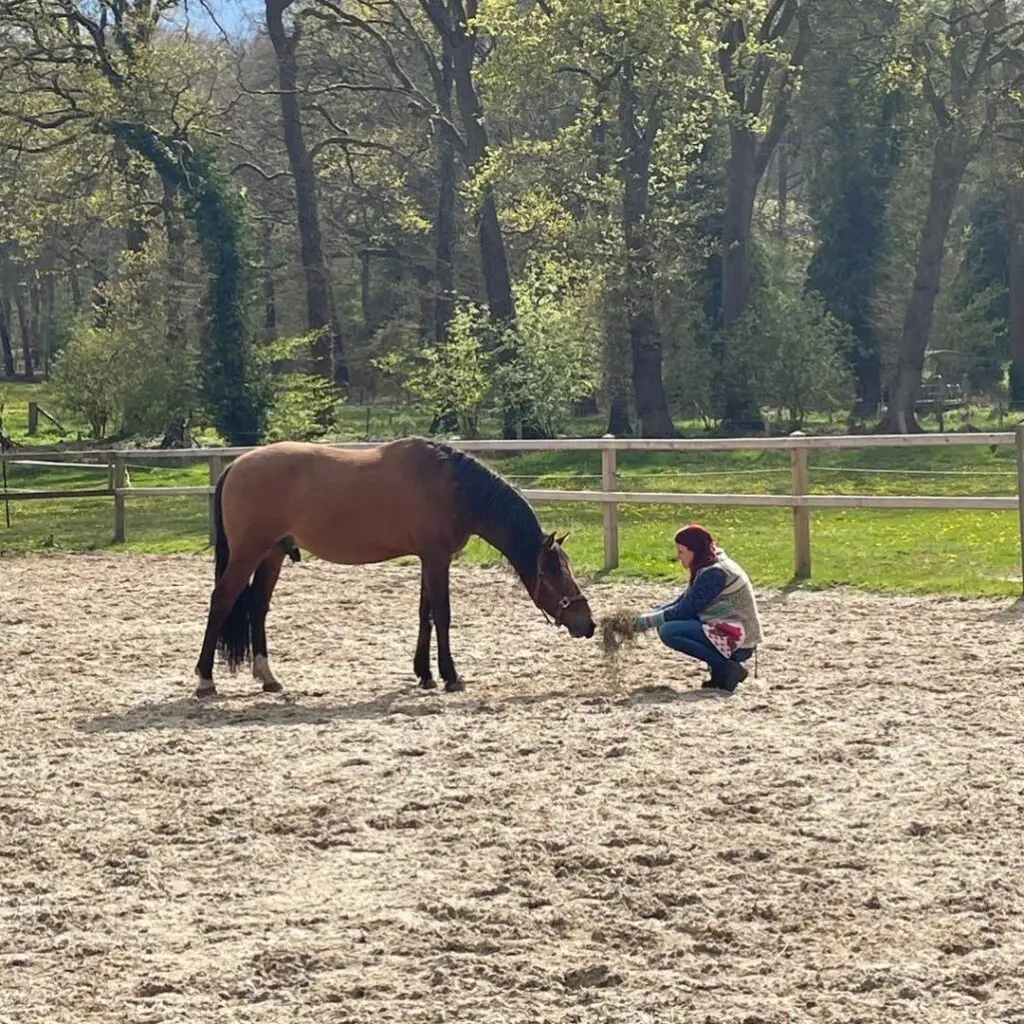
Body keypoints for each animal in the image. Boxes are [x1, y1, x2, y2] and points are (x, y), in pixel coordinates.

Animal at [193, 436, 596, 697]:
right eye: (556, 575)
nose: (588, 624)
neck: (452, 487)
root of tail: (236, 465)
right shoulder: (436, 558)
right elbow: (443, 614)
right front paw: (451, 676)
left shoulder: (428, 558)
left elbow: (425, 614)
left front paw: (425, 674)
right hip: (248, 553)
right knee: (222, 601)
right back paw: (205, 680)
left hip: (272, 554)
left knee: (258, 607)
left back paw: (268, 678)